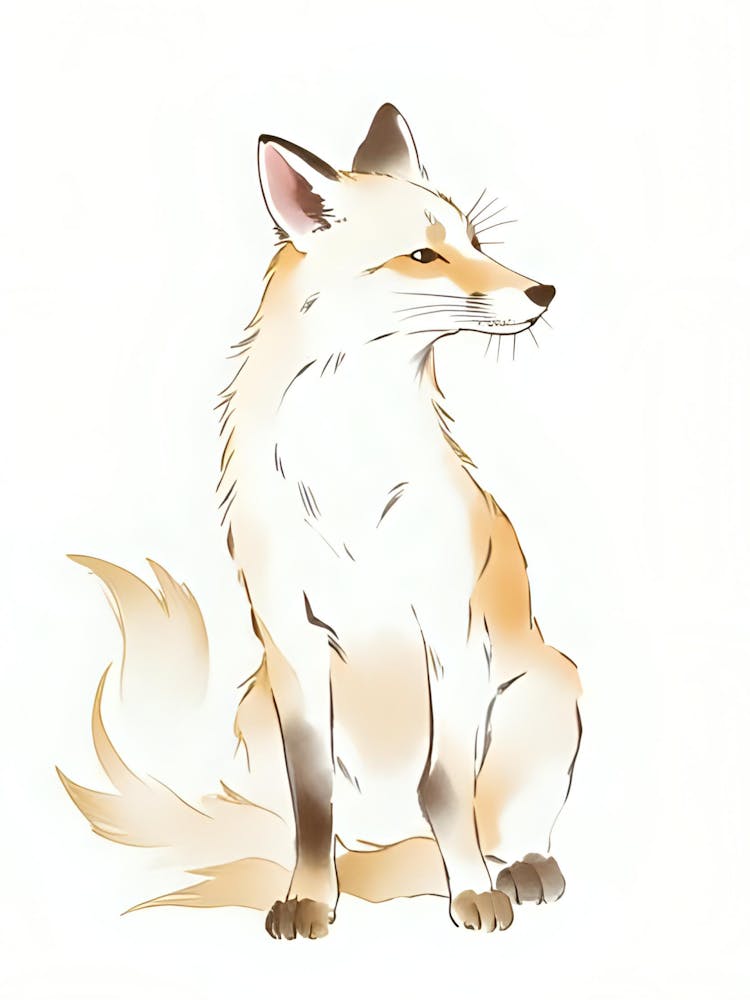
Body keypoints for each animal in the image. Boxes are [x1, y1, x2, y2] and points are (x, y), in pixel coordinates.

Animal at [59, 103, 582, 939]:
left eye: (476, 242)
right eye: (423, 255)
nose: (545, 291)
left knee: (503, 825)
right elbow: (313, 804)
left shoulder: (449, 632)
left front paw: (471, 893)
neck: (352, 468)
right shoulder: (293, 644)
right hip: (256, 710)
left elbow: (446, 789)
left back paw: (519, 869)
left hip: (546, 691)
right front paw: (308, 898)